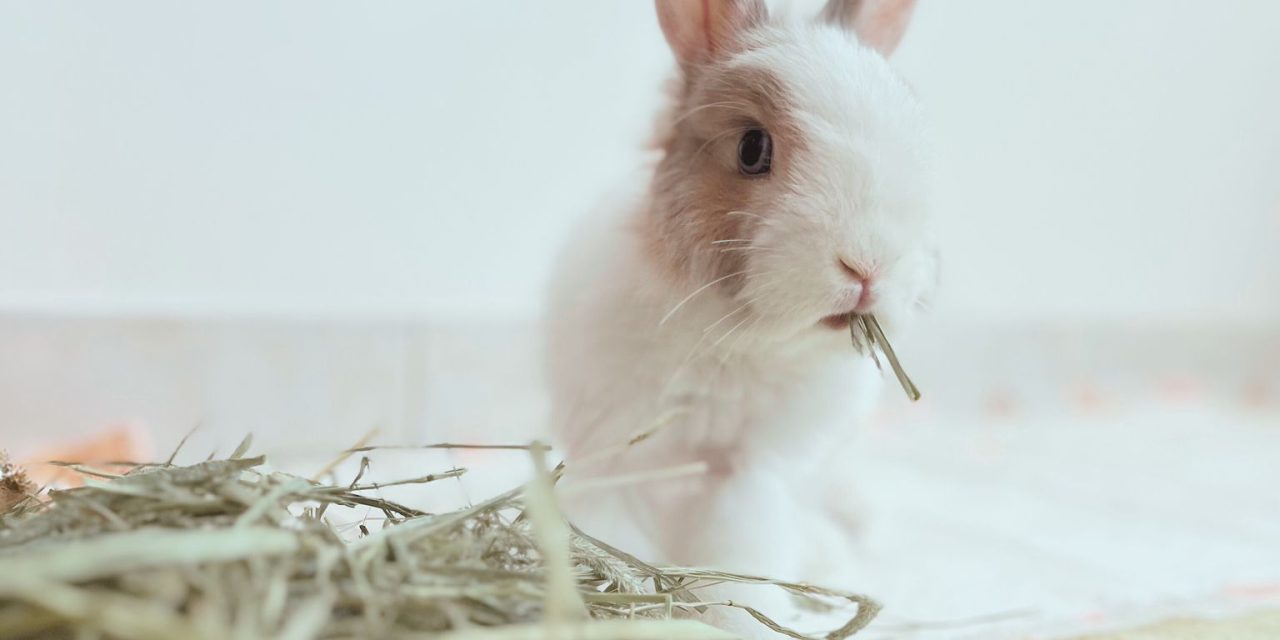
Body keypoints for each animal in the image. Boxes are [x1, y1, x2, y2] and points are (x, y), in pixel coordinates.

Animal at [546, 0, 935, 633]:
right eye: (753, 148)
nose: (868, 264)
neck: (736, 340)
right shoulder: (621, 454)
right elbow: (614, 531)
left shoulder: (748, 471)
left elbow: (740, 550)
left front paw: (742, 619)